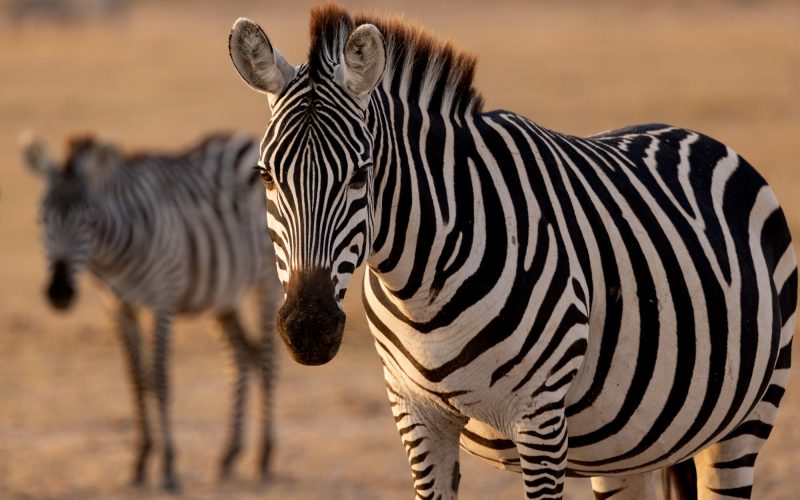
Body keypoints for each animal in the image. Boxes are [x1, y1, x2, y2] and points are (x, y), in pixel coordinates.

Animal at [21, 132, 279, 492]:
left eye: (89, 220)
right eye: (41, 220)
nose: (59, 293)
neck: (112, 256)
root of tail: (248, 139)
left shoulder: (162, 300)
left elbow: (158, 377)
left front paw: (168, 467)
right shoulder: (117, 307)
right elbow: (135, 377)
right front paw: (140, 462)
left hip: (266, 279)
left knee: (267, 360)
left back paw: (264, 457)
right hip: (222, 292)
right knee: (242, 356)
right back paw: (229, 455)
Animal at [228, 4, 796, 499]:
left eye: (360, 176)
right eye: (266, 176)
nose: (308, 329)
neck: (421, 283)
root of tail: (689, 132)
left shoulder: (540, 418)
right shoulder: (416, 417)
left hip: (748, 418)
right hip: (628, 447)